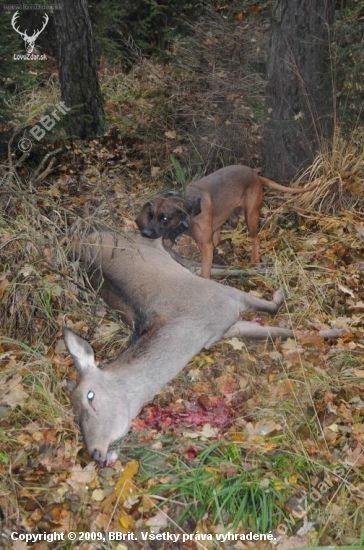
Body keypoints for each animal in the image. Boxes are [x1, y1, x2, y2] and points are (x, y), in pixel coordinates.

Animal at [135, 163, 312, 276]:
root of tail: (256, 175)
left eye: (165, 218)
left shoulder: (205, 247)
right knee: (219, 234)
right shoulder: (171, 237)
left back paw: (254, 259)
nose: (145, 233)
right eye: (150, 215)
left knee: (255, 238)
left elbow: (205, 272)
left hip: (251, 216)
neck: (190, 209)